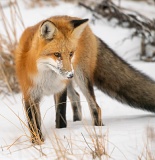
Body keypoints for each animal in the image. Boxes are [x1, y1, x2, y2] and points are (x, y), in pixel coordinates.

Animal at [15, 15, 155, 144]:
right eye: (57, 54)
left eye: (71, 54)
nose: (70, 74)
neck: (47, 79)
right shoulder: (30, 95)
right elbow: (33, 124)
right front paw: (37, 143)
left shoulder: (60, 90)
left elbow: (60, 116)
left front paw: (61, 132)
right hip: (71, 82)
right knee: (76, 97)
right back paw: (77, 122)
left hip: (82, 77)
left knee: (96, 107)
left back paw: (97, 129)